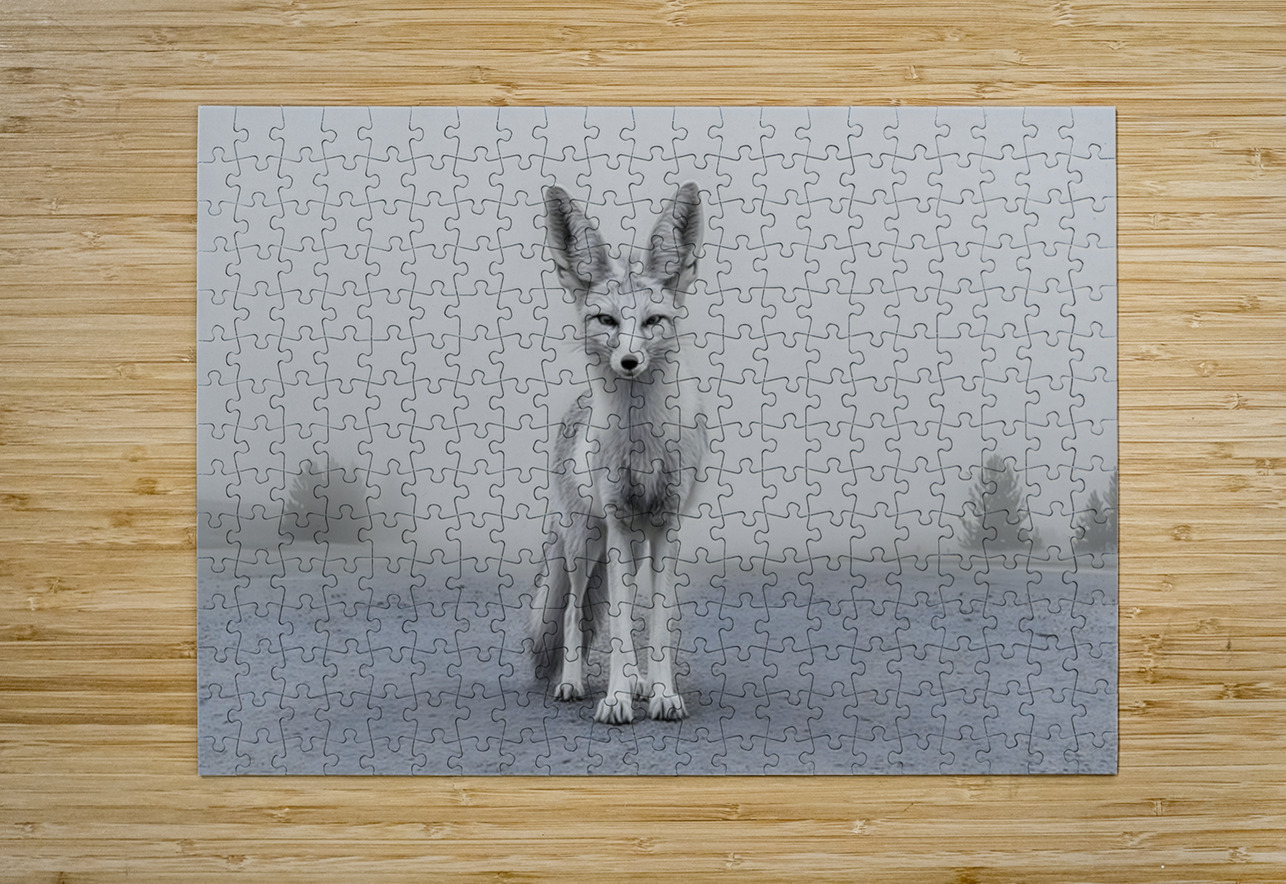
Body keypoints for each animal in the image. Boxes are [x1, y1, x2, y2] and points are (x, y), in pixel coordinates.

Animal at [530, 182, 707, 724]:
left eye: (653, 321)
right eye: (605, 319)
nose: (628, 361)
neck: (641, 439)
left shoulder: (666, 523)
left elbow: (658, 620)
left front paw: (663, 692)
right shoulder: (618, 519)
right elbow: (621, 623)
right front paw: (616, 699)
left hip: (632, 541)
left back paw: (641, 682)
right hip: (585, 540)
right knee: (573, 612)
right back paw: (572, 683)